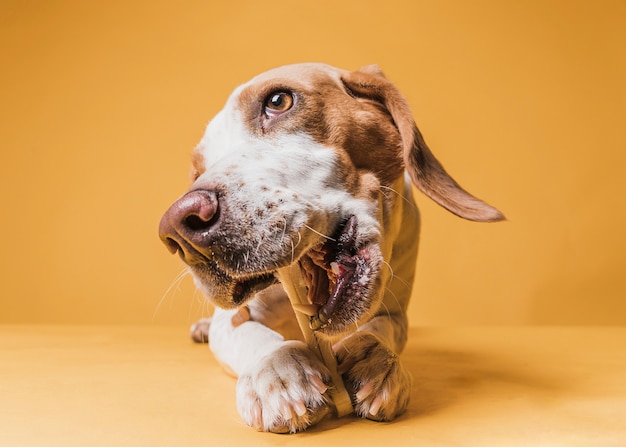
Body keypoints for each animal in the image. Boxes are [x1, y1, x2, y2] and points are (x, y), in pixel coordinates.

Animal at [157, 63, 502, 434]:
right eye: (197, 174)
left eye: (278, 101)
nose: (178, 231)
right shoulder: (233, 321)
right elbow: (251, 335)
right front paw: (279, 370)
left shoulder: (395, 311)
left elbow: (385, 330)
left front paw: (374, 359)